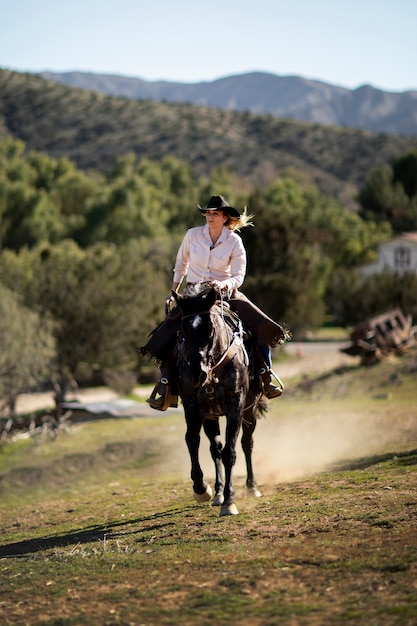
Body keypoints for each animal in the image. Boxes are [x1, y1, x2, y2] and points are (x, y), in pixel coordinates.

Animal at [173, 286, 268, 516]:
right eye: (182, 331)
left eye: (210, 327)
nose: (197, 373)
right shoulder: (192, 405)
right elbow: (192, 441)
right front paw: (202, 489)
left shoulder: (236, 404)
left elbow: (230, 451)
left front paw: (230, 502)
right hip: (211, 415)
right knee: (214, 448)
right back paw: (217, 493)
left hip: (250, 410)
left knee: (246, 443)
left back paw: (251, 486)